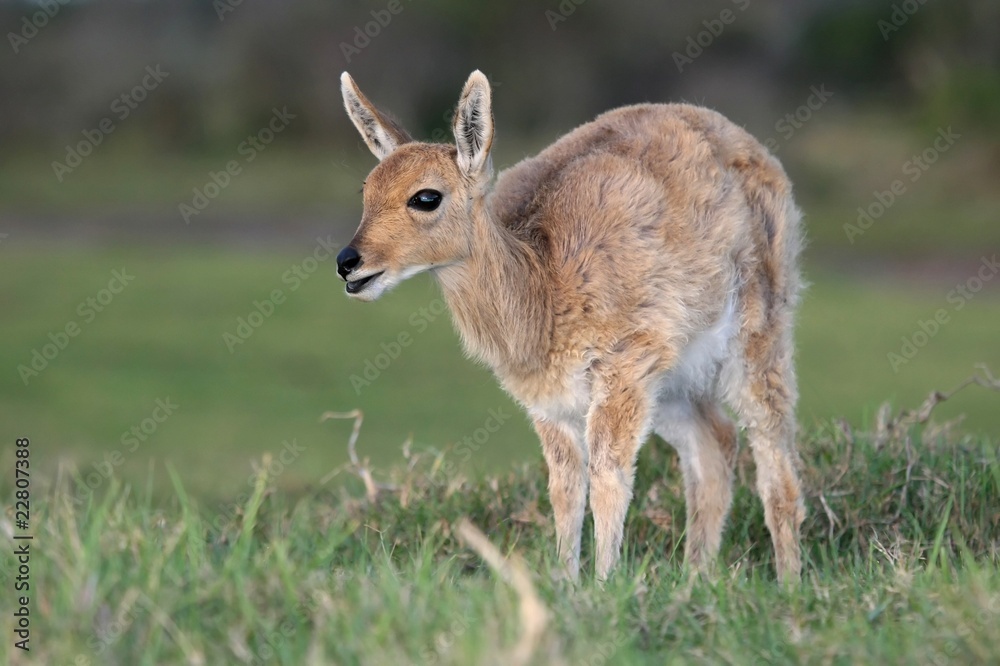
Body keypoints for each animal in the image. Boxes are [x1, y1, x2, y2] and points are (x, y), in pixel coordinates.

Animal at [336, 70, 806, 583]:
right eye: (365, 190)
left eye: (426, 197)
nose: (348, 263)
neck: (543, 294)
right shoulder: (551, 404)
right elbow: (564, 488)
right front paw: (566, 583)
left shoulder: (621, 369)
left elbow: (608, 479)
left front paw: (605, 586)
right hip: (672, 383)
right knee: (715, 443)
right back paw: (695, 578)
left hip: (760, 334)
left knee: (775, 457)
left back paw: (789, 584)